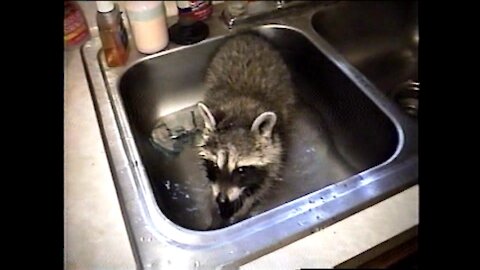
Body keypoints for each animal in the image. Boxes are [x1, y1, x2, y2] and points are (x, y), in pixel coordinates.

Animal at [196, 32, 294, 225]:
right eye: (215, 165)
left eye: (241, 170)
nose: (222, 200)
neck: (238, 116)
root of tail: (247, 33)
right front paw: (216, 210)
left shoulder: (276, 148)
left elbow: (264, 183)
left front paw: (244, 207)